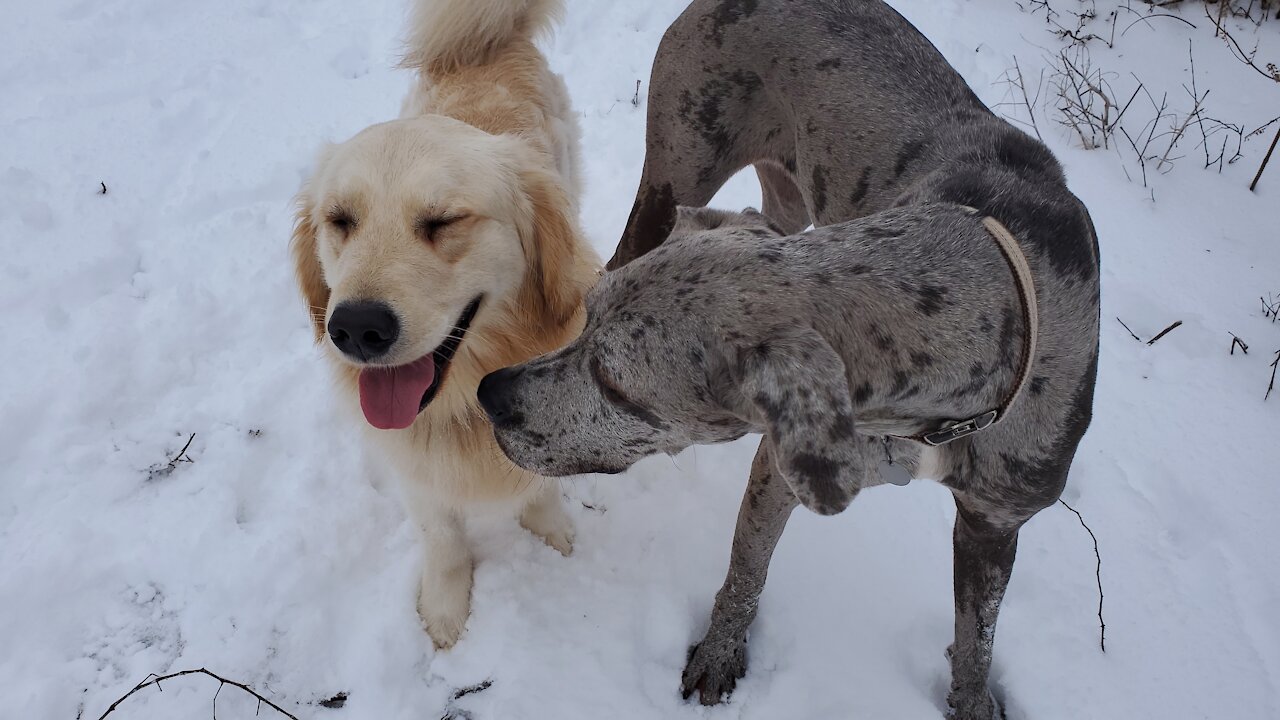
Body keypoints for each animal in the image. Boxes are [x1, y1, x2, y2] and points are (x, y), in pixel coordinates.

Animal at [293, 0, 601, 648]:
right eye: (340, 219)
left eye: (443, 221)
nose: (356, 328)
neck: (464, 401)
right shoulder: (417, 472)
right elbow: (444, 539)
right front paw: (444, 606)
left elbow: (541, 486)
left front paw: (551, 533)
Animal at [476, 2, 1095, 712]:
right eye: (589, 323)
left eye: (615, 385)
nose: (490, 396)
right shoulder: (783, 465)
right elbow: (747, 566)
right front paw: (720, 651)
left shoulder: (994, 526)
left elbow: (978, 638)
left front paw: (972, 702)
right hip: (676, 165)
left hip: (789, 196)